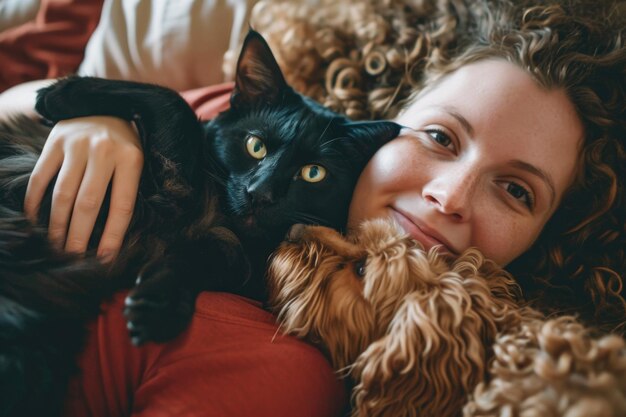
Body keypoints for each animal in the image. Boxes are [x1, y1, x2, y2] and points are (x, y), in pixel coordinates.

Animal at [0, 30, 400, 416]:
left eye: (313, 173)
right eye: (256, 146)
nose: (260, 193)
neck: (218, 215)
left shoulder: (234, 259)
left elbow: (198, 259)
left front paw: (158, 305)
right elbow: (175, 102)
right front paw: (58, 94)